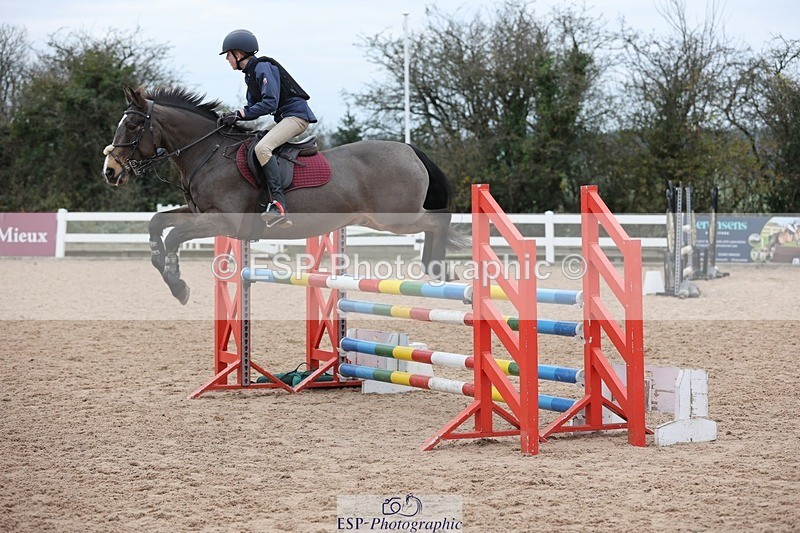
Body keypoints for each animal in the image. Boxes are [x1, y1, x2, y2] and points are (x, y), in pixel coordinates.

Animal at [102, 86, 465, 304]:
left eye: (132, 126)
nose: (110, 171)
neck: (208, 152)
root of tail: (410, 149)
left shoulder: (225, 221)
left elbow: (175, 235)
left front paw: (178, 284)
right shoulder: (199, 213)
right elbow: (156, 223)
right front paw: (162, 267)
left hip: (395, 217)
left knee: (438, 220)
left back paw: (436, 267)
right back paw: (439, 271)